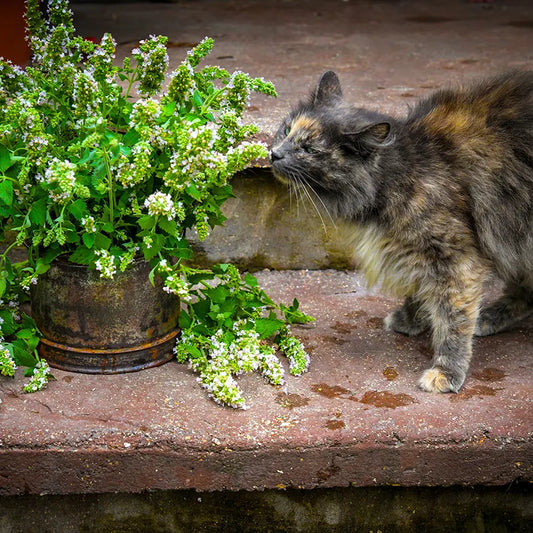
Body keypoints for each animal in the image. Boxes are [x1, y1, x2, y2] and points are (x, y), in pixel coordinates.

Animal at [270, 70, 532, 392]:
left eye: (309, 150)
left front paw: (447, 370)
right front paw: (412, 318)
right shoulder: (417, 250)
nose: (274, 154)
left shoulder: (456, 258)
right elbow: (421, 288)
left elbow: (453, 316)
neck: (399, 172)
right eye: (286, 130)